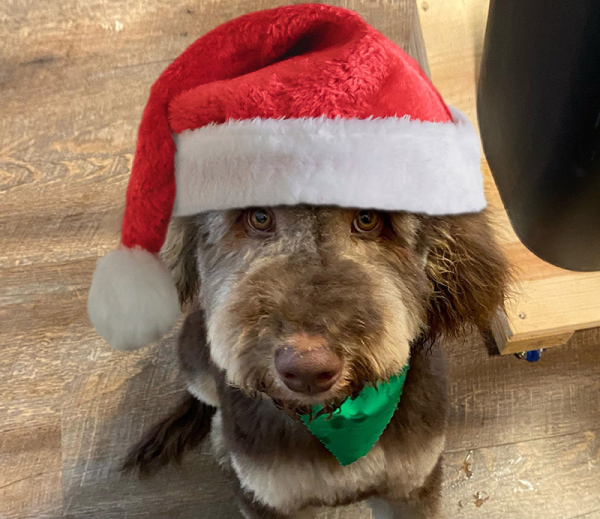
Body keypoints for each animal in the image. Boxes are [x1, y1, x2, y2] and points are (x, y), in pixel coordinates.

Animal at [124, 205, 508, 516]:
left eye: (368, 219)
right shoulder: (266, 500)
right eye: (259, 217)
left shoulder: (413, 485)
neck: (334, 418)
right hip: (195, 357)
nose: (307, 368)